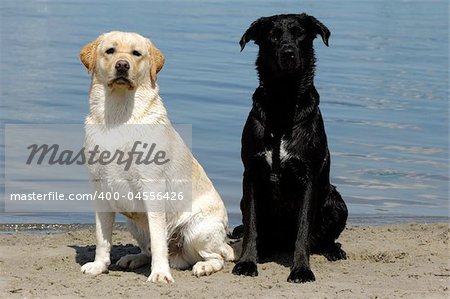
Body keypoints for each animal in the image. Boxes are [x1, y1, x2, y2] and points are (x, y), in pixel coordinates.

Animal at [232, 13, 348, 284]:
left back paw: (333, 250)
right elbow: (251, 226)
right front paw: (247, 263)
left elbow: (303, 230)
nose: (288, 52)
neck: (283, 102)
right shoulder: (251, 174)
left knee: (323, 239)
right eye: (272, 35)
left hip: (336, 201)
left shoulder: (308, 179)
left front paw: (301, 269)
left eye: (300, 33)